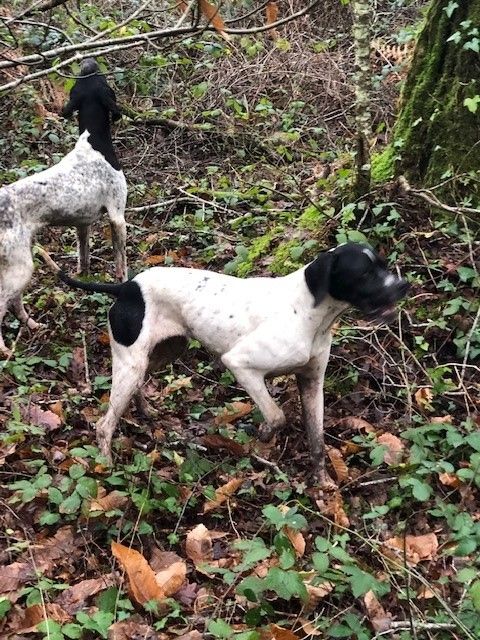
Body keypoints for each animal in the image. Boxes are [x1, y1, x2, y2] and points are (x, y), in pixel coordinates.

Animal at [42, 242, 408, 488]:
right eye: (364, 273)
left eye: (383, 265)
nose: (407, 285)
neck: (310, 313)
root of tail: (126, 286)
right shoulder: (241, 365)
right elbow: (276, 416)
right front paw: (261, 439)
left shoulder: (312, 381)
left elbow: (317, 441)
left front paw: (322, 484)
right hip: (132, 362)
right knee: (104, 425)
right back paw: (105, 466)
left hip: (159, 354)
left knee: (135, 390)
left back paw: (144, 412)